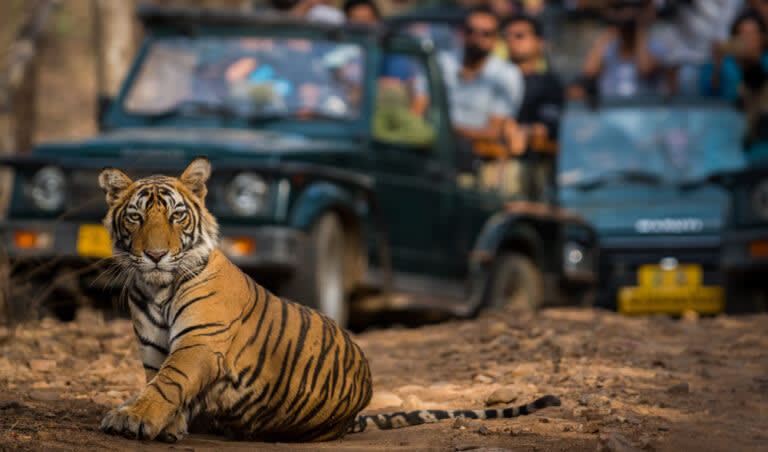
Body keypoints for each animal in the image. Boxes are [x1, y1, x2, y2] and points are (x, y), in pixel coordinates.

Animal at [97, 157, 562, 442]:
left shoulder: (200, 342)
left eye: (177, 216)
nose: (156, 255)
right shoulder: (154, 348)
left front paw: (132, 418)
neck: (156, 288)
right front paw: (163, 423)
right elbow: (158, 383)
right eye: (135, 217)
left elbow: (167, 383)